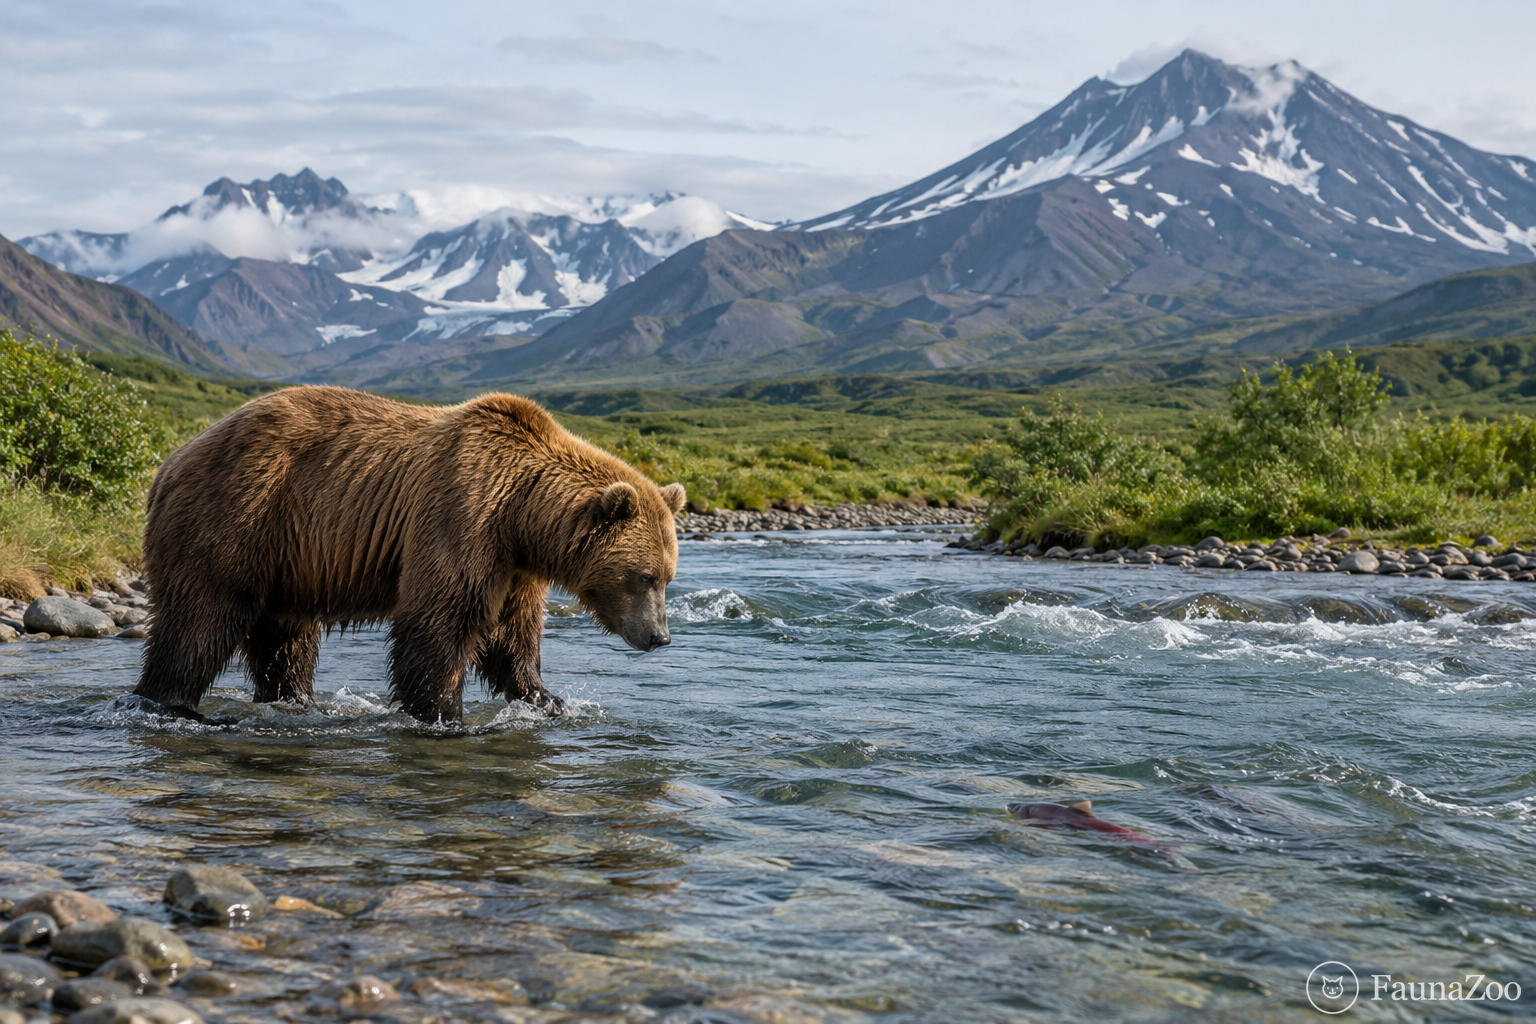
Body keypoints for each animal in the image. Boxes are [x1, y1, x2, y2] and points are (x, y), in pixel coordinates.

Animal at [132, 385, 685, 724]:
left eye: (668, 577)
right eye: (644, 576)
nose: (659, 636)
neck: (522, 514)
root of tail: (168, 463)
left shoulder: (514, 565)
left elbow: (513, 636)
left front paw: (548, 699)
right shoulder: (463, 514)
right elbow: (439, 621)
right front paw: (443, 713)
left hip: (288, 560)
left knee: (284, 639)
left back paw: (297, 701)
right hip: (238, 512)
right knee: (200, 620)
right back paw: (171, 702)